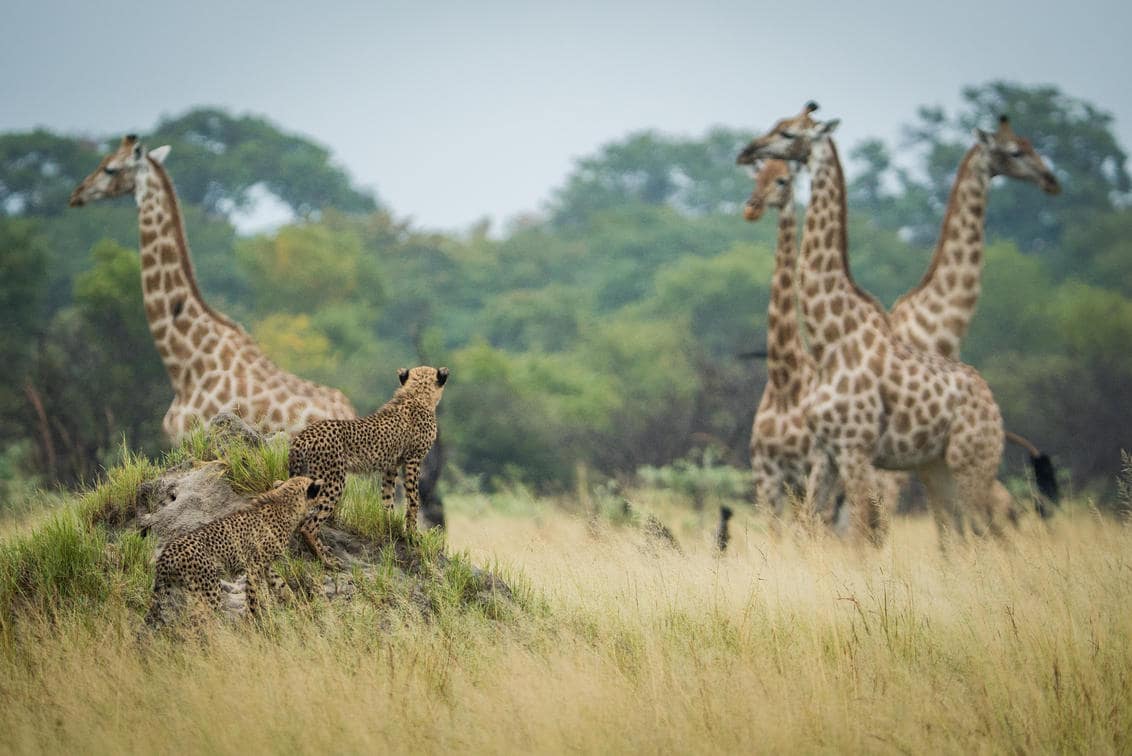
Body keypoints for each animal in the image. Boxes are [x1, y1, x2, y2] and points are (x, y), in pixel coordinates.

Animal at [146, 475, 323, 629]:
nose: (321, 508)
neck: (286, 502)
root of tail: (167, 551)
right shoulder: (254, 565)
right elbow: (253, 595)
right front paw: (251, 620)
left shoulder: (266, 565)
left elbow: (281, 585)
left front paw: (297, 605)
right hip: (209, 588)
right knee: (199, 619)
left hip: (175, 591)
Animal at [287, 366, 446, 561]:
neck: (417, 394)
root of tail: (303, 435)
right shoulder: (413, 460)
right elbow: (414, 500)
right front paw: (413, 535)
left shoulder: (391, 466)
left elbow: (388, 498)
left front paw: (390, 527)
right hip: (333, 481)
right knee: (309, 525)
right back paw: (325, 558)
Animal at [733, 104, 1009, 543]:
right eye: (757, 176)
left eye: (788, 134)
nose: (751, 205)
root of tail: (990, 398)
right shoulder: (788, 467)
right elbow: (804, 531)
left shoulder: (847, 454)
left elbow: (852, 533)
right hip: (937, 466)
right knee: (960, 533)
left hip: (967, 463)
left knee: (986, 530)